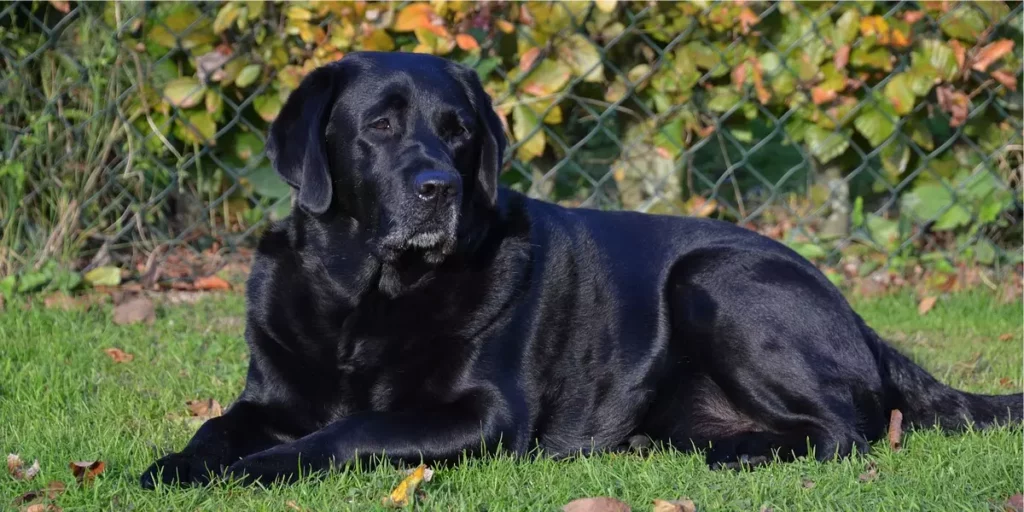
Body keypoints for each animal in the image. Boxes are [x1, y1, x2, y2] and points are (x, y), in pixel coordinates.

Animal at [140, 51, 1019, 487]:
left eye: (459, 131)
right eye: (381, 126)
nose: (439, 188)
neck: (363, 296)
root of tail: (856, 315)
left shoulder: (481, 415)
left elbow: (348, 430)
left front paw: (257, 470)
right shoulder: (267, 396)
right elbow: (216, 427)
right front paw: (175, 466)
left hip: (712, 279)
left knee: (847, 430)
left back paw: (739, 458)